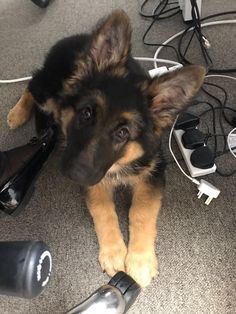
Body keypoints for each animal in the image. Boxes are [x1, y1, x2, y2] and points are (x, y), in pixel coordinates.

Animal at [7, 9, 206, 288]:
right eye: (87, 113)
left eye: (123, 133)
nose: (74, 175)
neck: (118, 166)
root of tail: (73, 38)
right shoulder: (95, 179)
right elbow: (103, 212)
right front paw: (114, 252)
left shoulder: (153, 170)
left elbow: (141, 212)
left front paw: (140, 260)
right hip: (49, 89)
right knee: (32, 85)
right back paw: (17, 113)